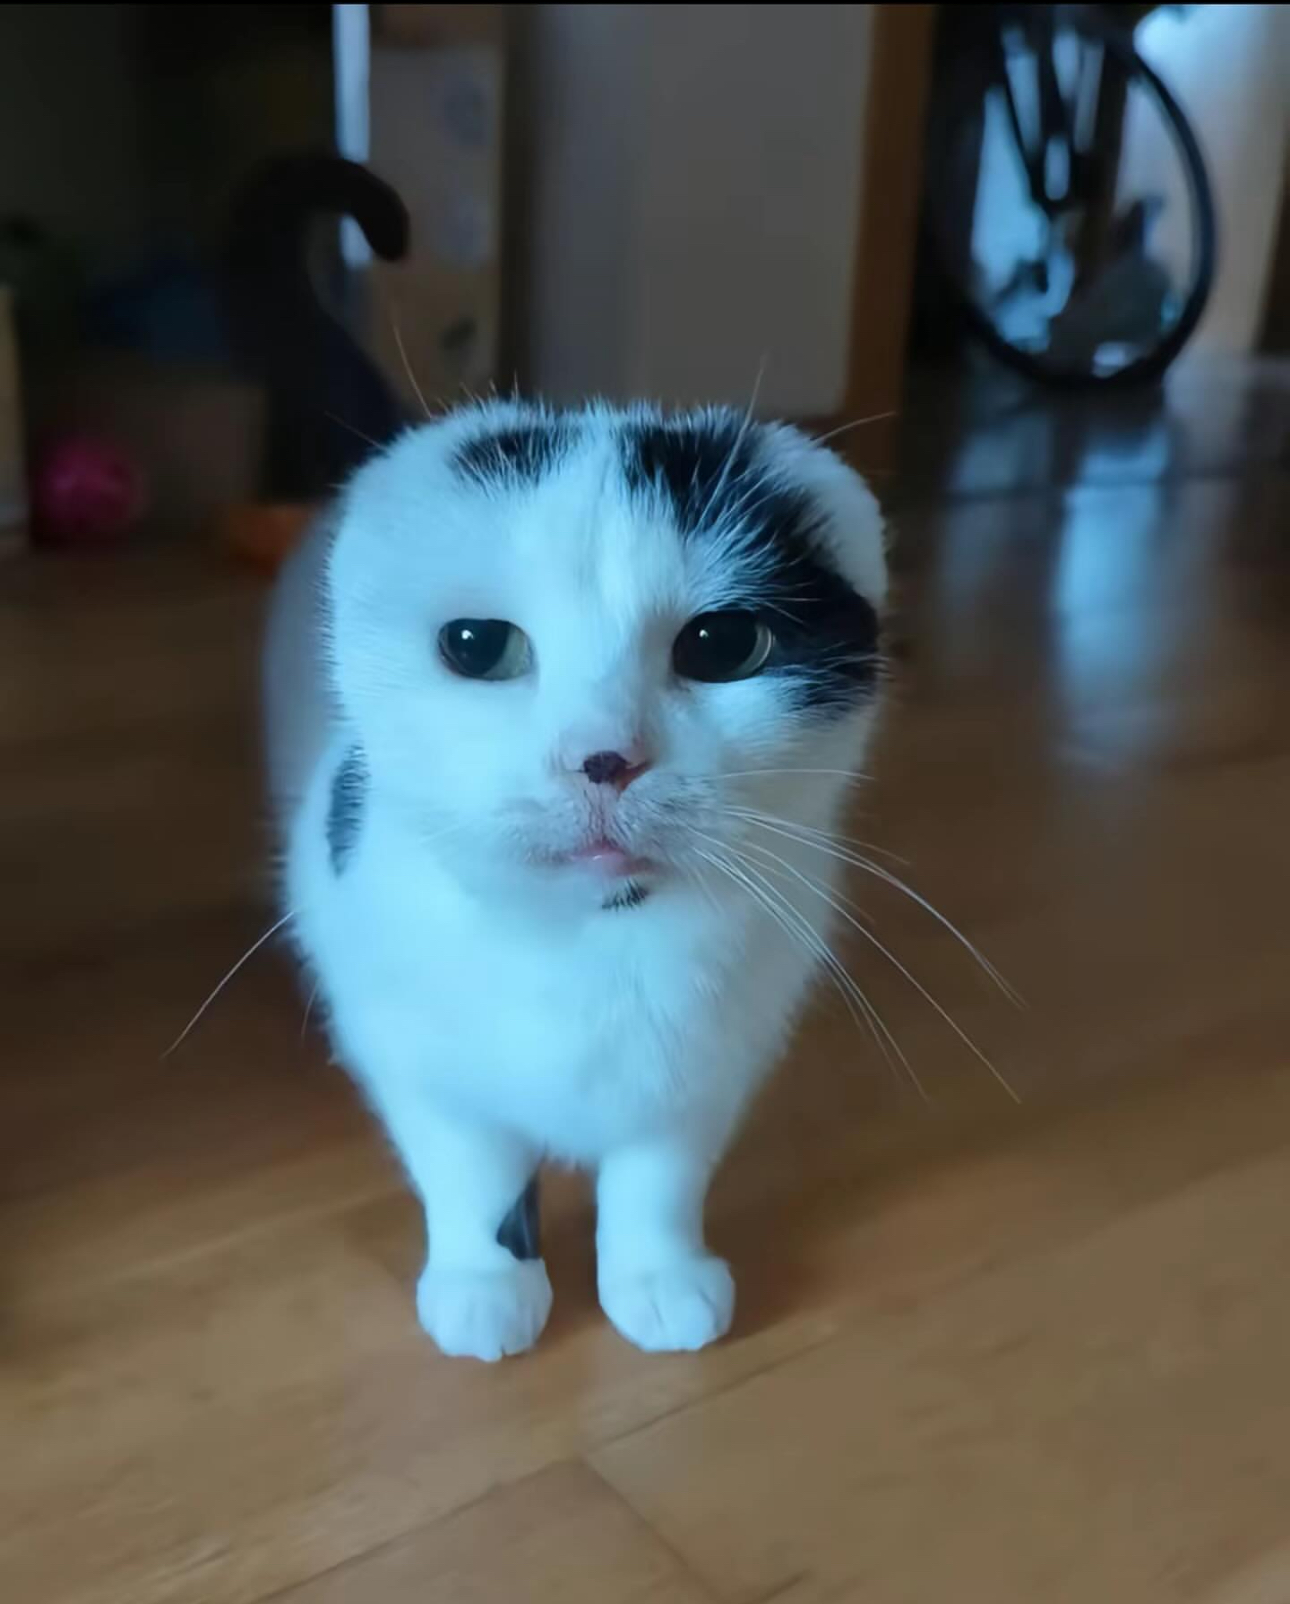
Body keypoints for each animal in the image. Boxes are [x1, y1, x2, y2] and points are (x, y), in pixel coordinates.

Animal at [261, 172, 885, 1366]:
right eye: (476, 646)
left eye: (722, 645)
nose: (605, 756)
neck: (589, 943)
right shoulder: (418, 1060)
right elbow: (473, 1176)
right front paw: (485, 1283)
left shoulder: (703, 1076)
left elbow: (658, 1183)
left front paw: (658, 1279)